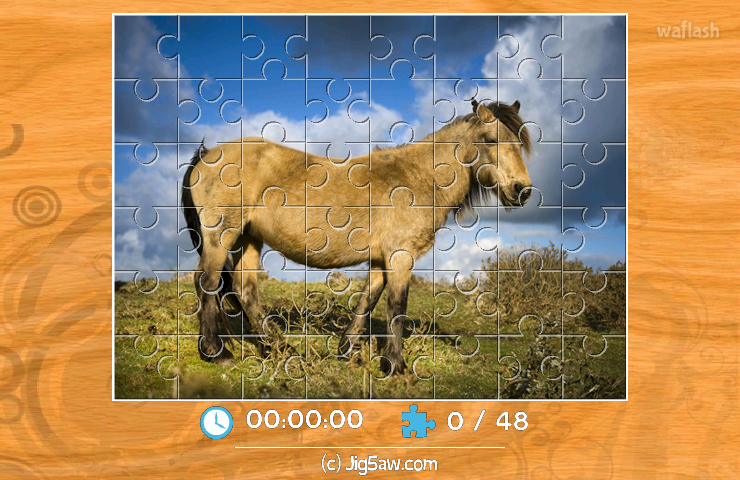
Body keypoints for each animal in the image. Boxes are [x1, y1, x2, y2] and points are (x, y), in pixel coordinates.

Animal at [181, 99, 533, 375]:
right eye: (491, 140)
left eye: (520, 144)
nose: (522, 190)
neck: (419, 179)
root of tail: (207, 155)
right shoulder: (400, 257)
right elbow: (396, 305)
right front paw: (396, 365)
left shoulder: (382, 259)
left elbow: (369, 299)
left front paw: (346, 349)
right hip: (222, 236)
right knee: (208, 282)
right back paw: (217, 352)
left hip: (248, 239)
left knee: (245, 289)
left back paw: (278, 348)